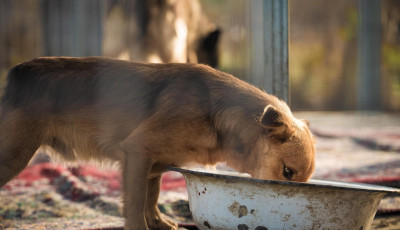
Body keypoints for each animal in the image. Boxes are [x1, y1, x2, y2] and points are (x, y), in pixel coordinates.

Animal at [0, 56, 316, 229]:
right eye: (287, 172)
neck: (216, 115)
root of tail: (16, 76)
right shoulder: (138, 153)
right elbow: (136, 201)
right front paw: (140, 227)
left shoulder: (154, 164)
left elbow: (151, 197)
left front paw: (158, 223)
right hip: (13, 156)